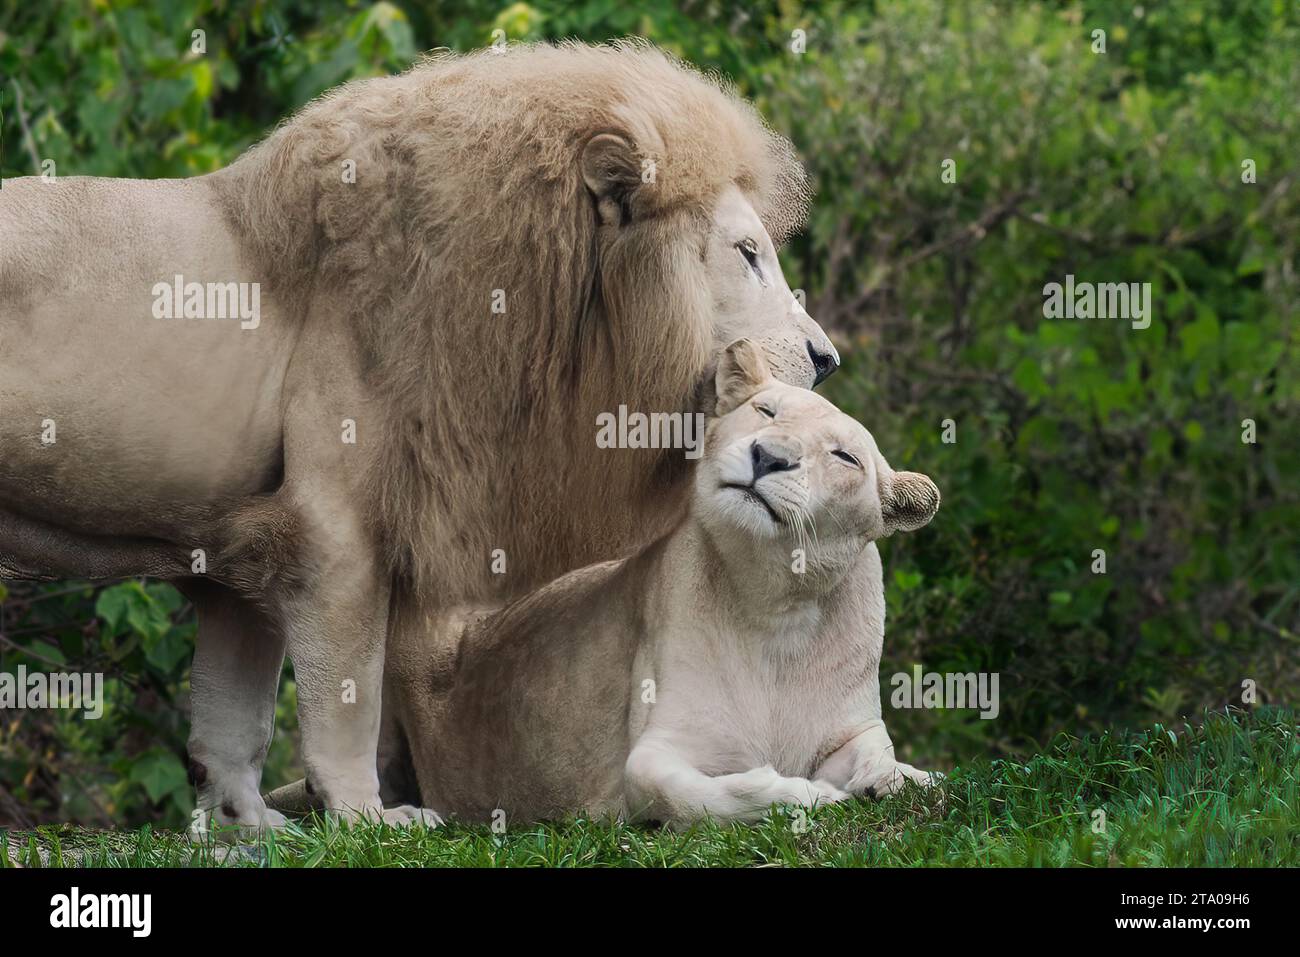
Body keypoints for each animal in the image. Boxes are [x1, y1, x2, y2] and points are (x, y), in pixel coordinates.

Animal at [0, 41, 832, 826]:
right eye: (749, 254)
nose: (826, 359)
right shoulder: (330, 531)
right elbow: (348, 699)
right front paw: (369, 816)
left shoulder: (237, 550)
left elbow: (233, 721)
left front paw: (251, 824)